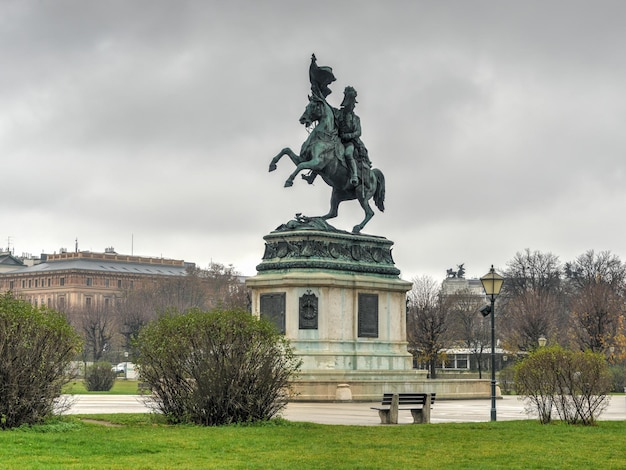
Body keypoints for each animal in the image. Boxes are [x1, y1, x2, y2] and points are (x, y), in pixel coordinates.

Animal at [270, 94, 386, 234]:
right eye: (307, 106)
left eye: (314, 106)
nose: (302, 119)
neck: (324, 137)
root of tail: (373, 173)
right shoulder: (302, 158)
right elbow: (286, 151)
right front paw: (272, 165)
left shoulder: (317, 163)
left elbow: (300, 166)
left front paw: (289, 181)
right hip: (337, 193)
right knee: (333, 213)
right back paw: (312, 219)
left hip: (361, 193)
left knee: (370, 213)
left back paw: (356, 228)